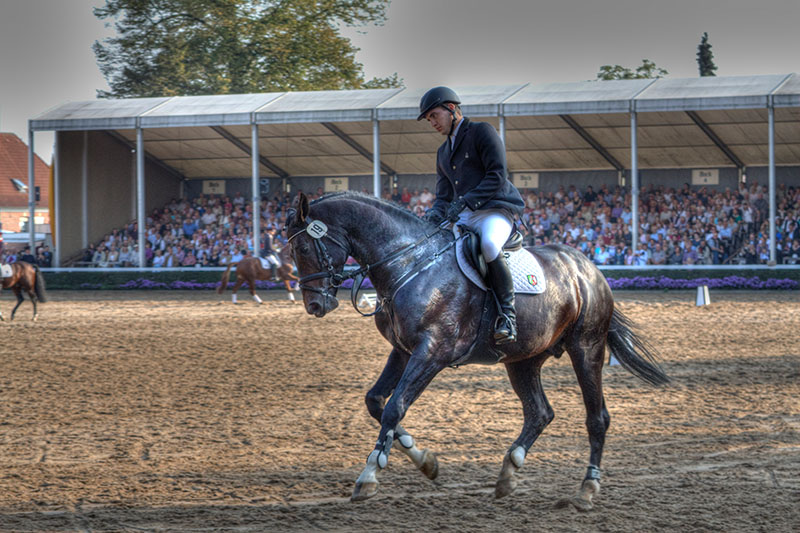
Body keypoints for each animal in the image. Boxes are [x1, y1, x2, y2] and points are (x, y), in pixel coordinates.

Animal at [288, 190, 668, 508]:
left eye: (303, 249)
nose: (315, 306)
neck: (412, 262)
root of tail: (588, 268)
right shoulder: (403, 351)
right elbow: (376, 403)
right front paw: (425, 461)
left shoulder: (433, 351)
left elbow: (395, 406)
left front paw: (369, 476)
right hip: (523, 359)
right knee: (540, 413)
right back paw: (508, 473)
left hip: (586, 348)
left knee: (596, 418)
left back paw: (587, 490)